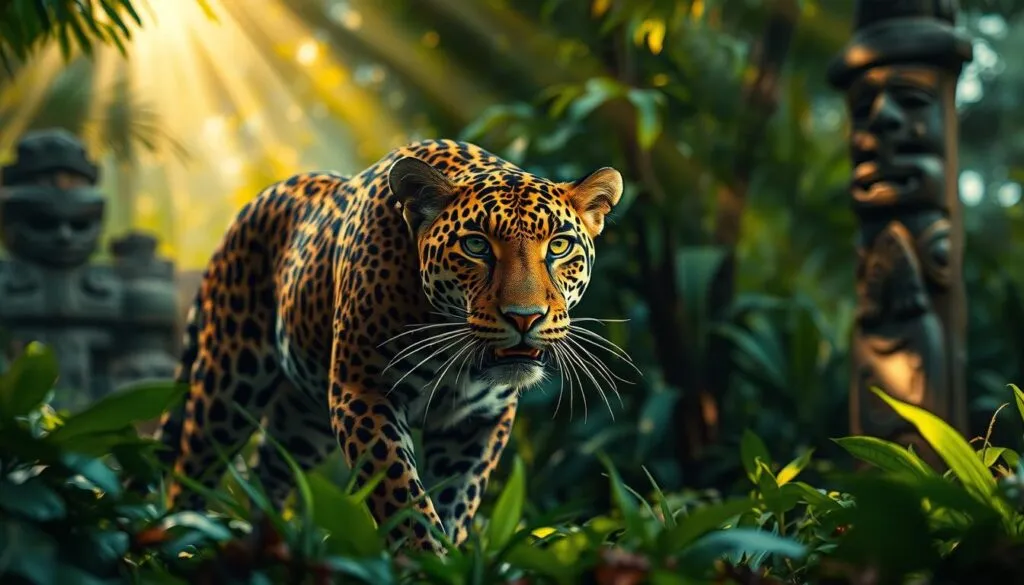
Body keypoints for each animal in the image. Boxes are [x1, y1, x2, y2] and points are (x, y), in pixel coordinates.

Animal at [154, 138, 624, 553]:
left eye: (559, 245)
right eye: (476, 245)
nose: (524, 317)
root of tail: (255, 202)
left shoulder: (478, 421)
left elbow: (456, 502)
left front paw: (450, 559)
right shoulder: (362, 392)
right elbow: (404, 498)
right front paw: (424, 561)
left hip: (303, 418)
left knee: (270, 470)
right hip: (228, 385)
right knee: (189, 470)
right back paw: (175, 544)